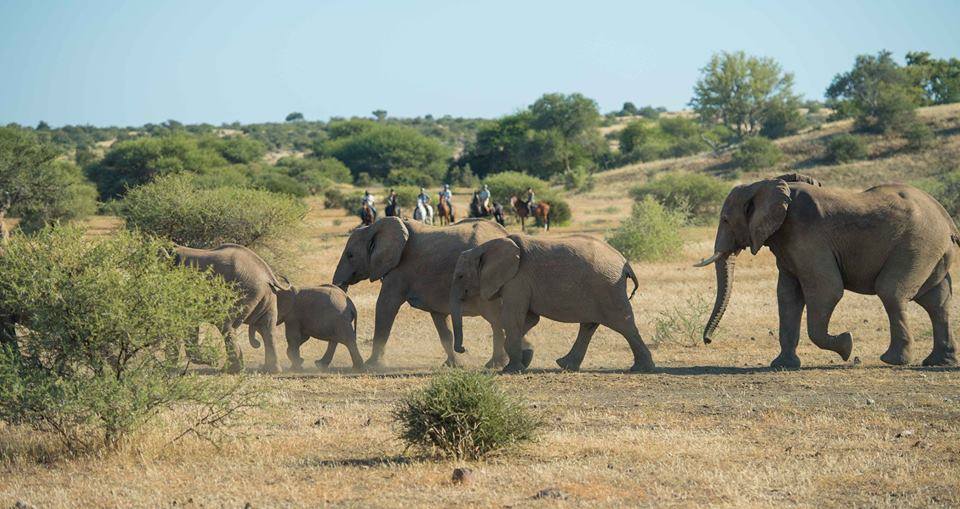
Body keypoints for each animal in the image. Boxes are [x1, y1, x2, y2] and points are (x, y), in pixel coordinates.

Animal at [326, 216, 528, 368]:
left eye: (350, 255)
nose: (463, 349)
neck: (374, 227)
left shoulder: (400, 270)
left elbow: (385, 306)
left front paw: (372, 365)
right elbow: (441, 323)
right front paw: (453, 365)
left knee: (496, 318)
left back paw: (498, 364)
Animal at [450, 232, 652, 372]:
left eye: (460, 276)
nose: (462, 349)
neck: (485, 247)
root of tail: (625, 262)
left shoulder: (516, 280)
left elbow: (512, 317)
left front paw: (512, 370)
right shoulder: (519, 283)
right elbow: (529, 320)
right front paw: (525, 357)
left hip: (607, 286)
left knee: (624, 325)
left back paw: (641, 368)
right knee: (589, 325)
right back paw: (565, 365)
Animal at [696, 173, 960, 368]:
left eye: (726, 219)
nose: (707, 340)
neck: (765, 184)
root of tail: (947, 219)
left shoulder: (808, 236)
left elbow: (826, 291)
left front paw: (847, 345)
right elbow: (787, 296)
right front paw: (782, 365)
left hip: (918, 244)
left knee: (891, 292)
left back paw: (893, 360)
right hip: (932, 250)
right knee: (937, 301)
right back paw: (938, 362)